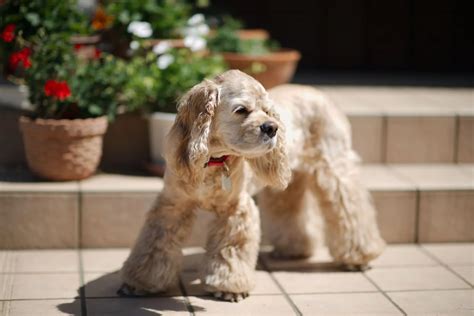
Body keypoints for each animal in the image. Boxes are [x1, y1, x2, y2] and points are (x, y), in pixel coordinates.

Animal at [118, 68, 386, 302]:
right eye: (241, 110)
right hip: (289, 183)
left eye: (267, 111)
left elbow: (230, 250)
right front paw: (140, 282)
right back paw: (294, 249)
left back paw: (359, 256)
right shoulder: (172, 205)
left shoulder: (236, 209)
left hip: (335, 167)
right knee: (290, 210)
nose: (273, 127)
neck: (213, 160)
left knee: (351, 210)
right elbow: (154, 245)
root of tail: (320, 94)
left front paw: (228, 288)